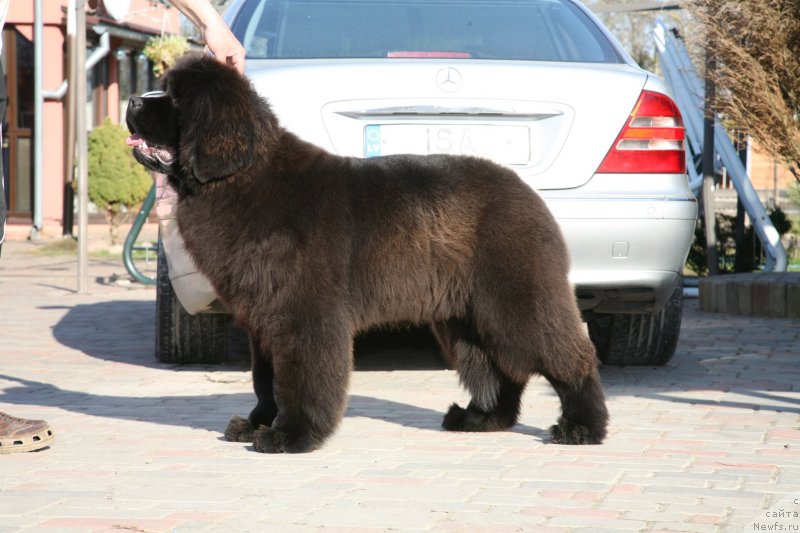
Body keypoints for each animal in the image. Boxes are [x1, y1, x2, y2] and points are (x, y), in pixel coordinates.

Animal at [128, 55, 608, 454]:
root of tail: (527, 193)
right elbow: (266, 380)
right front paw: (256, 424)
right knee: (495, 368)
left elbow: (299, 378)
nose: (132, 99)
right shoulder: (261, 317)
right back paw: (481, 418)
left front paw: (290, 435)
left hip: (515, 300)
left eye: (176, 97)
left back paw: (582, 427)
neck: (240, 177)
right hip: (465, 317)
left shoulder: (303, 313)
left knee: (571, 356)